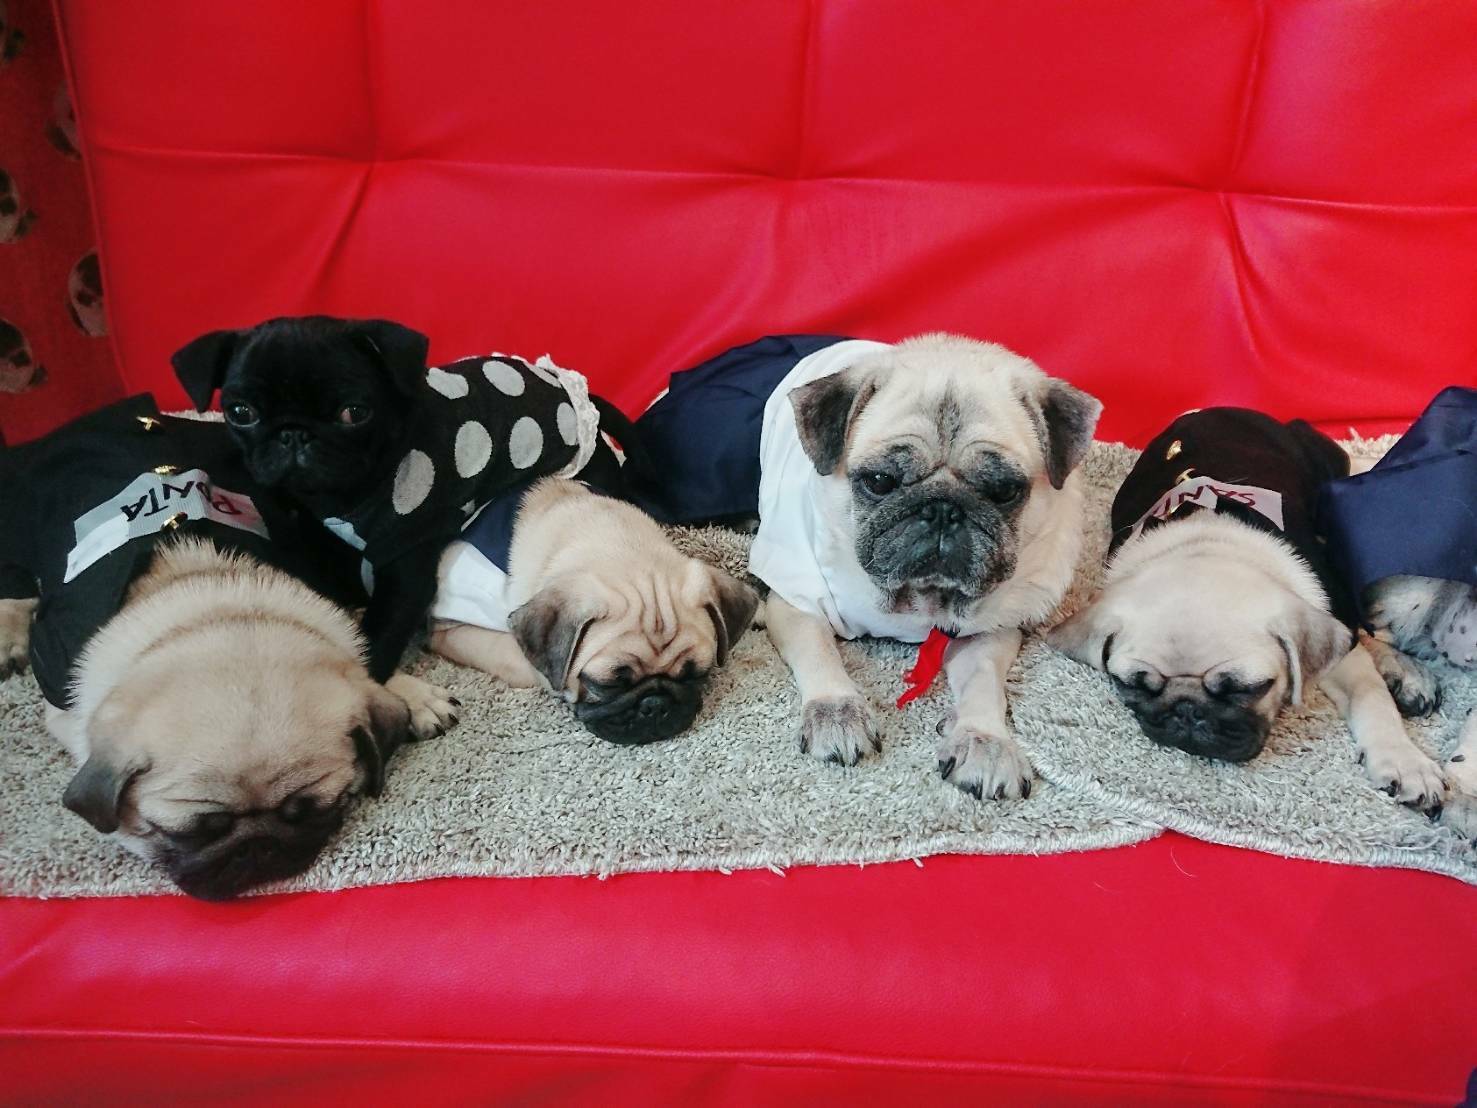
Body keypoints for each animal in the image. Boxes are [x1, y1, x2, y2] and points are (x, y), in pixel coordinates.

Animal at [0, 396, 456, 900]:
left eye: (313, 810)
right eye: (193, 832)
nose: (259, 847)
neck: (210, 601)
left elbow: (367, 656)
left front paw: (411, 695)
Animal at [428, 478, 758, 744]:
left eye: (695, 677)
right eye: (605, 684)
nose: (655, 705)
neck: (619, 544)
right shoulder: (449, 627)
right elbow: (529, 668)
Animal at [1048, 408, 1447, 811]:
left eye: (1248, 688)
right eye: (1134, 685)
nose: (1187, 710)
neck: (1210, 542)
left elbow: (1370, 695)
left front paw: (1402, 758)